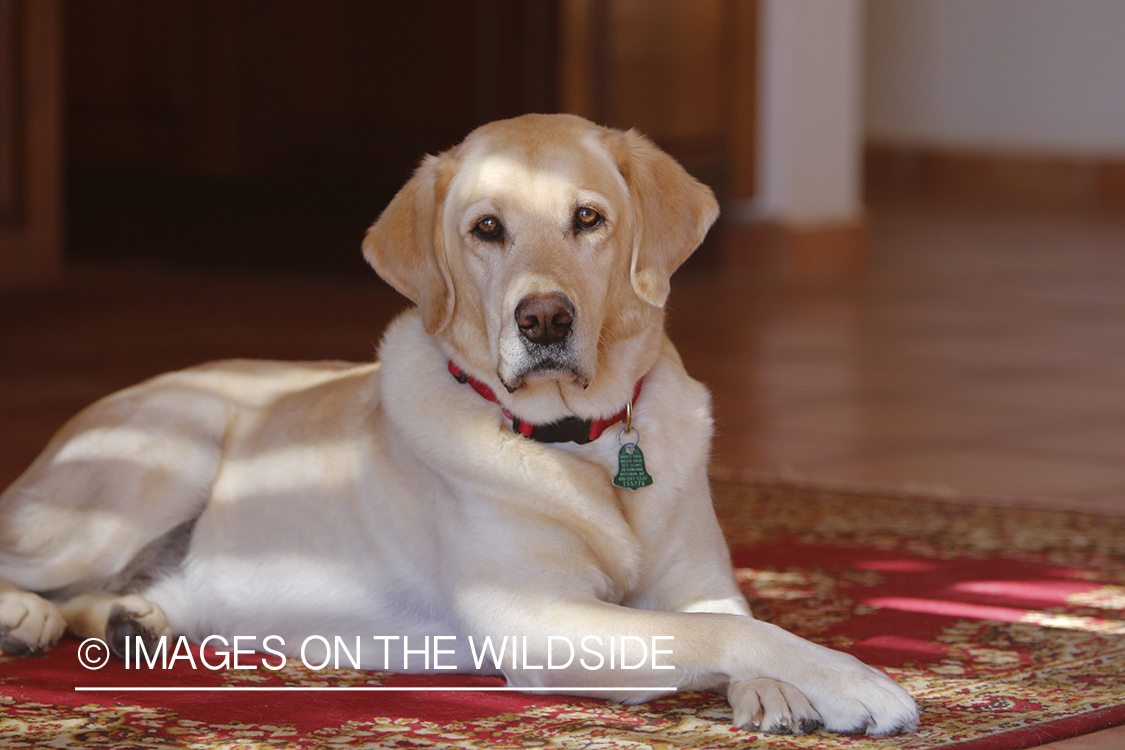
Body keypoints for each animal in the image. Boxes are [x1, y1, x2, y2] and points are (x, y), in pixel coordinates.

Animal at [0, 114, 913, 737]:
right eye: (486, 229)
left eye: (588, 219)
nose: (543, 319)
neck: (583, 441)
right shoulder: (539, 619)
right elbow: (716, 634)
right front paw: (852, 682)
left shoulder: (701, 581)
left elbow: (739, 623)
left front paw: (780, 689)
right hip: (161, 459)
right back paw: (29, 618)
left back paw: (133, 622)